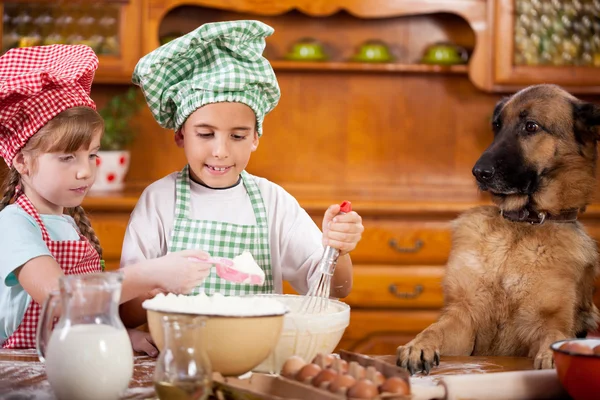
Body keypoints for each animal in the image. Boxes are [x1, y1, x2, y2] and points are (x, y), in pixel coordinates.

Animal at [398, 83, 600, 374]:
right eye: (497, 125)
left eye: (531, 126)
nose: (478, 172)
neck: (521, 226)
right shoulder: (464, 317)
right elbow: (434, 329)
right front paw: (418, 346)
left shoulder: (548, 321)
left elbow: (555, 336)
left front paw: (552, 358)